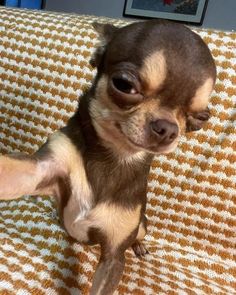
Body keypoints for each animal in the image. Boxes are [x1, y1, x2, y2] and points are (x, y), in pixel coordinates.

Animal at [0, 20, 216, 295]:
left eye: (200, 118)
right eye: (123, 85)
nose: (168, 128)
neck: (114, 158)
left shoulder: (113, 256)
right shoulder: (43, 167)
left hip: (142, 225)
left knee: (139, 235)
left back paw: (140, 246)